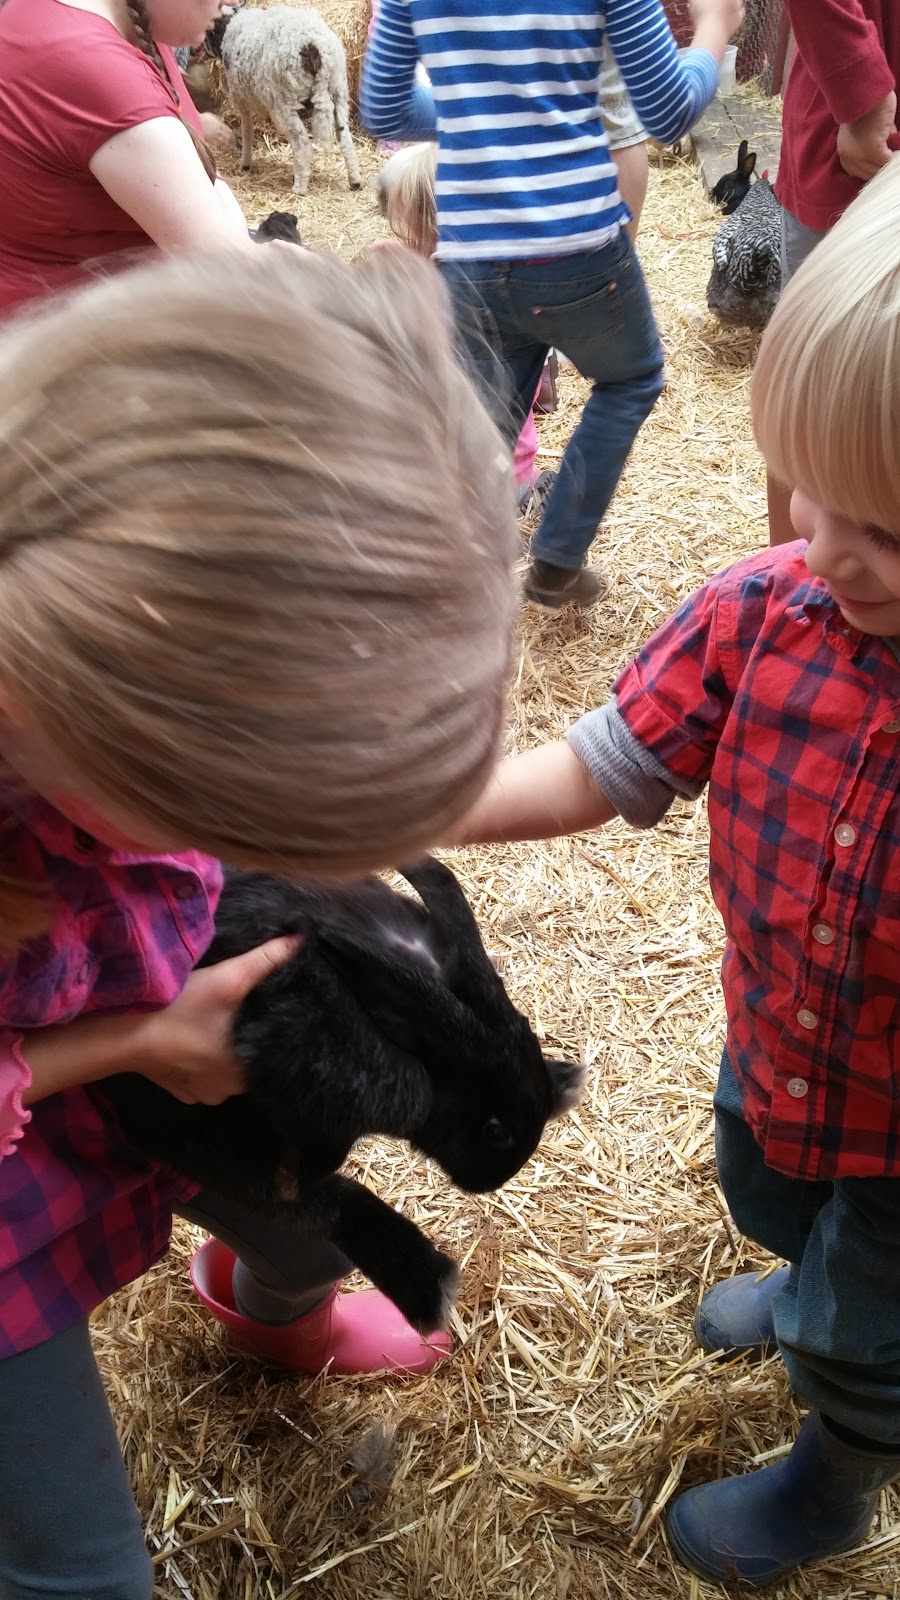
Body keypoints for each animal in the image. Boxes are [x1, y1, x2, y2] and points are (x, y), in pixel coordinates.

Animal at [206, 3, 361, 196]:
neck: (231, 24)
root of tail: (314, 47)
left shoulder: (242, 99)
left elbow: (247, 131)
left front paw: (245, 164)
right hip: (339, 91)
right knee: (345, 139)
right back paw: (355, 181)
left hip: (285, 102)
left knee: (302, 144)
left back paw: (299, 188)